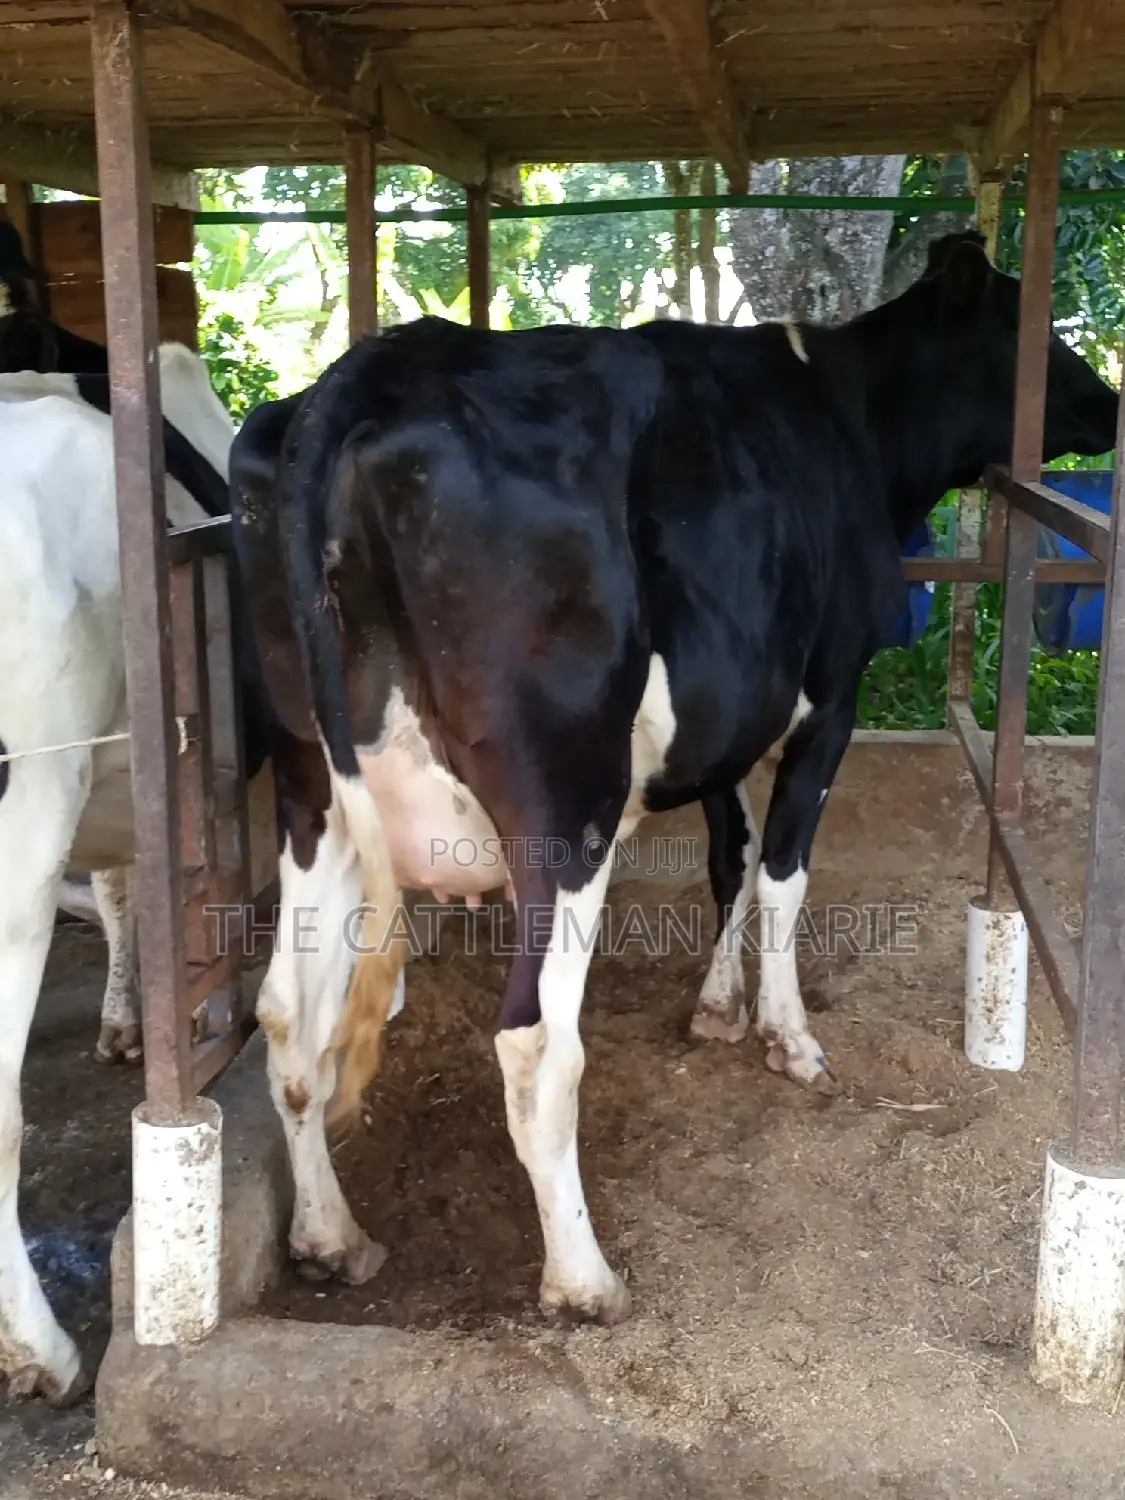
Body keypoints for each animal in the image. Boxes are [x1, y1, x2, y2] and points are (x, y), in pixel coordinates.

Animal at [229, 230, 1116, 1328]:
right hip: (564, 801)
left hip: (310, 785)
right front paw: (787, 1035)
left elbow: (729, 860)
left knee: (285, 1017)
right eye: (1023, 321)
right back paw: (582, 1280)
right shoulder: (832, 693)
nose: (1111, 401)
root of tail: (367, 372)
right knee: (535, 1044)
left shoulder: (723, 723)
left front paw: (718, 1007)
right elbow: (782, 873)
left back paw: (330, 1237)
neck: (851, 416)